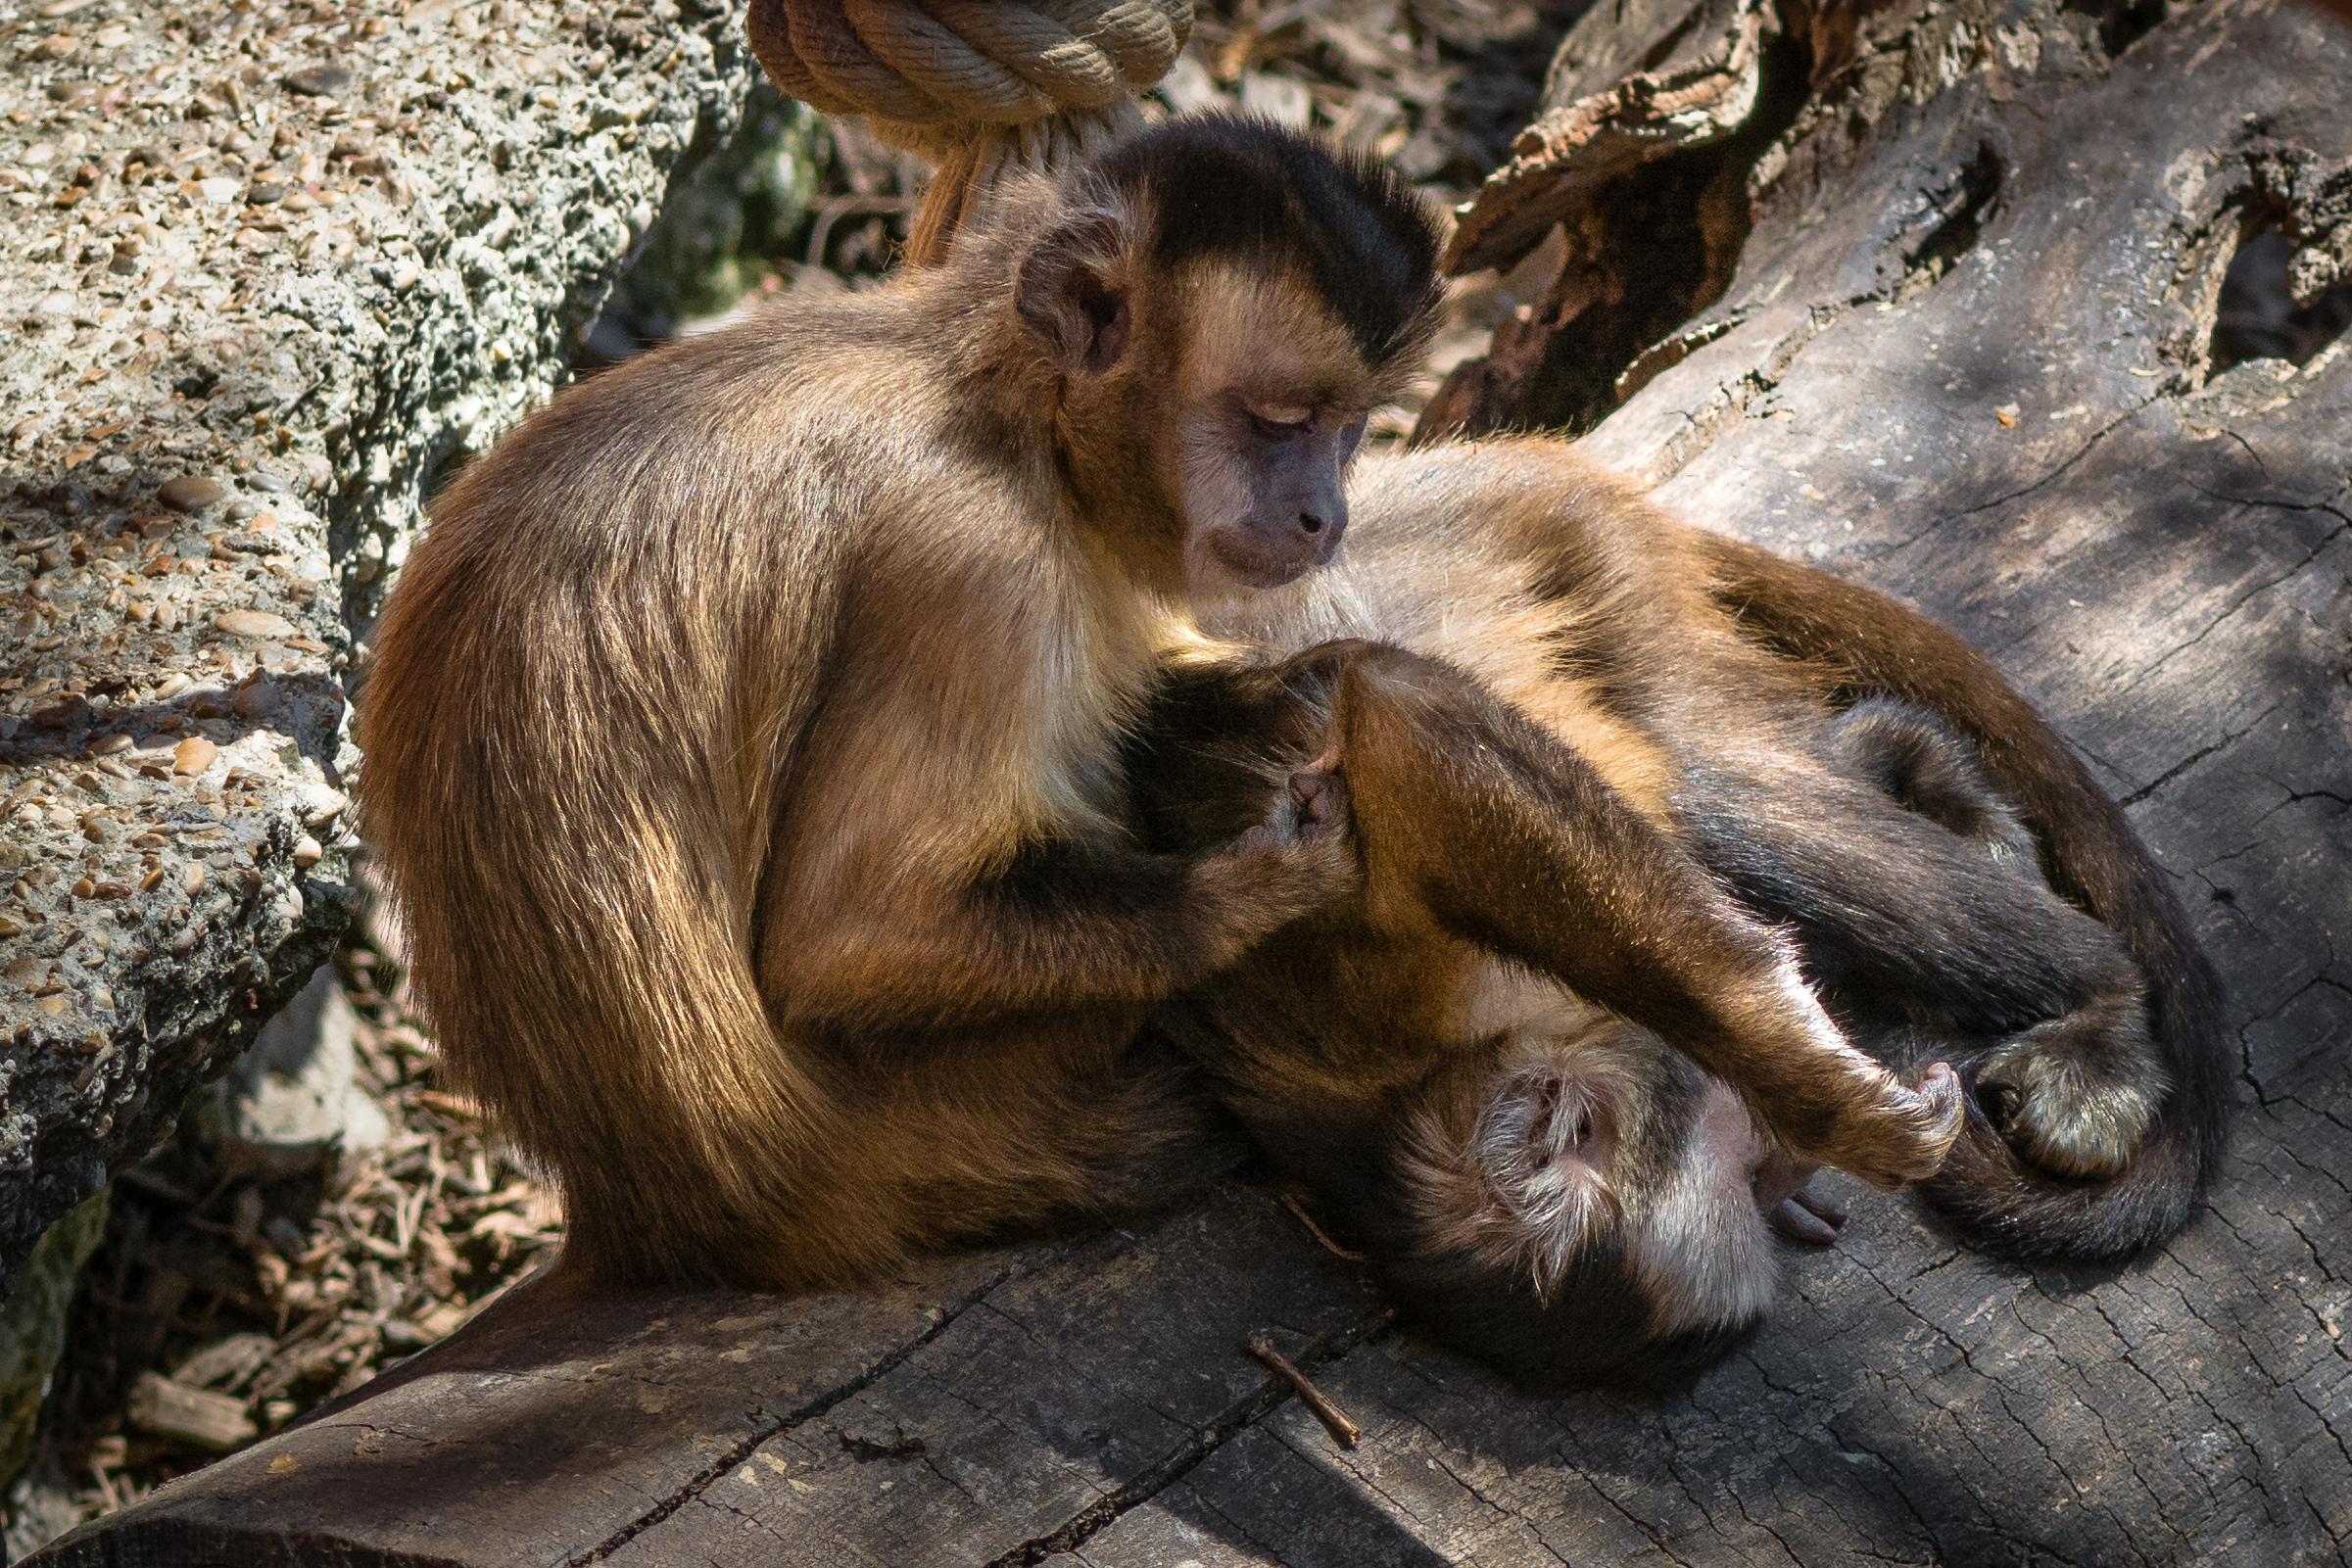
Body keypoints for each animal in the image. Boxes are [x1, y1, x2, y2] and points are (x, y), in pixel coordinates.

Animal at [357, 117, 1962, 1295]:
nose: (1323, 510)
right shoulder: (978, 567)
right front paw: (1253, 887)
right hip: (987, 1103)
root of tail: (665, 1204)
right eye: (1277, 422)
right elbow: (842, 937)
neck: (997, 409)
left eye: (1349, 428)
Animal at [1121, 436, 2226, 1384]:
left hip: (1555, 542)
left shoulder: (1382, 995)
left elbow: (1396, 711)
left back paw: (2100, 1000)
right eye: (1754, 1183)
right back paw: (1913, 761)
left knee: (1711, 792)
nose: (1784, 1166)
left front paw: (1813, 1085)